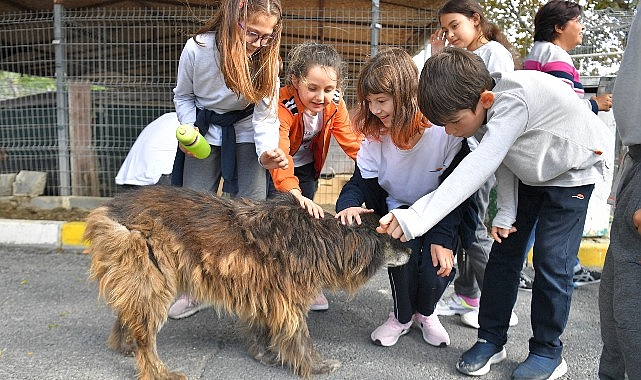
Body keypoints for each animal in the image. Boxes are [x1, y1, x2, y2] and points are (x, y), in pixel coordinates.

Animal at [84, 186, 410, 378]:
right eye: (391, 237)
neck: (324, 238)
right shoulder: (287, 300)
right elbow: (300, 337)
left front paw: (262, 353)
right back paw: (157, 370)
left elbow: (261, 328)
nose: (410, 252)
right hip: (153, 278)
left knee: (129, 314)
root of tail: (111, 208)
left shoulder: (265, 293)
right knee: (145, 335)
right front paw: (316, 366)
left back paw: (124, 345)